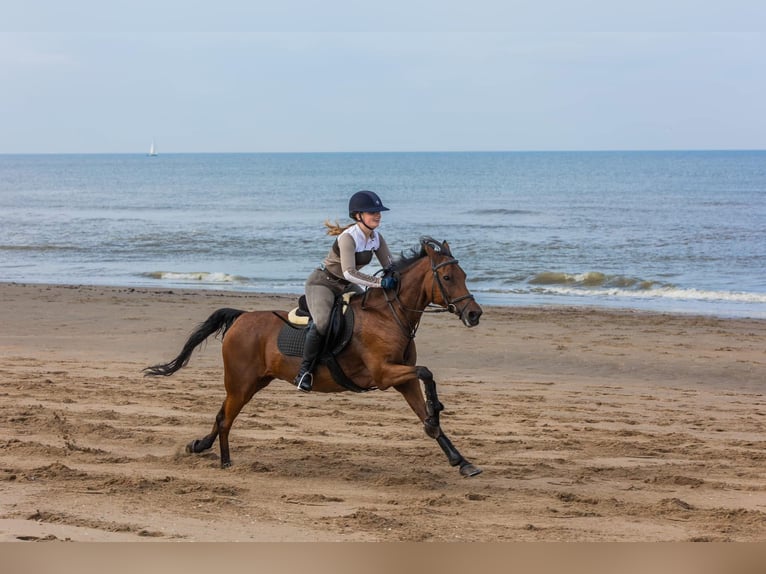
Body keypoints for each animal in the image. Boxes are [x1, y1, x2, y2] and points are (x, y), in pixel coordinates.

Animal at [146, 237, 484, 476]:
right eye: (449, 277)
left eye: (464, 274)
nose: (474, 314)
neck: (389, 315)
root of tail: (241, 317)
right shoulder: (384, 373)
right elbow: (427, 372)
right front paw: (436, 413)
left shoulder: (403, 377)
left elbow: (425, 404)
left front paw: (460, 459)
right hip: (241, 383)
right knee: (225, 418)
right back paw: (226, 462)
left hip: (252, 383)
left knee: (221, 415)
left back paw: (200, 446)